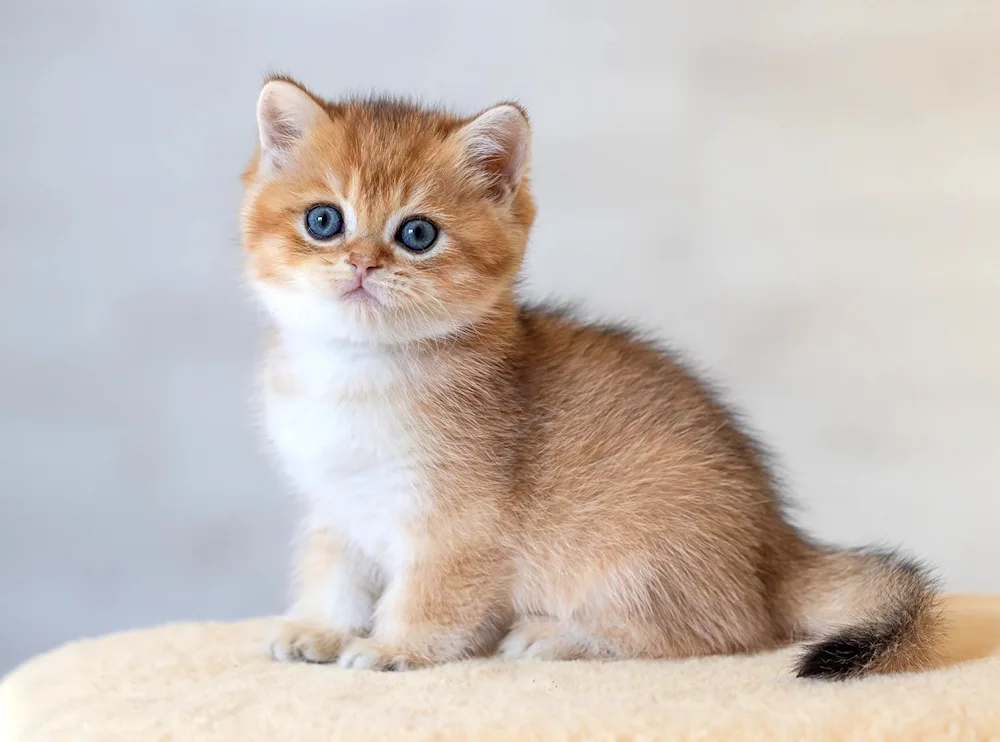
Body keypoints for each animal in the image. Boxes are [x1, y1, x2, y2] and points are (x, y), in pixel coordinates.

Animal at [238, 75, 940, 680]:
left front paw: (393, 648)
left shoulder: (458, 524)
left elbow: (427, 597)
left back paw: (555, 636)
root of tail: (781, 546)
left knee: (724, 632)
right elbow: (335, 575)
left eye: (417, 233)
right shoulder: (335, 506)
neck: (355, 372)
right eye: (324, 221)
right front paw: (320, 629)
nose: (361, 263)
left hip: (638, 558)